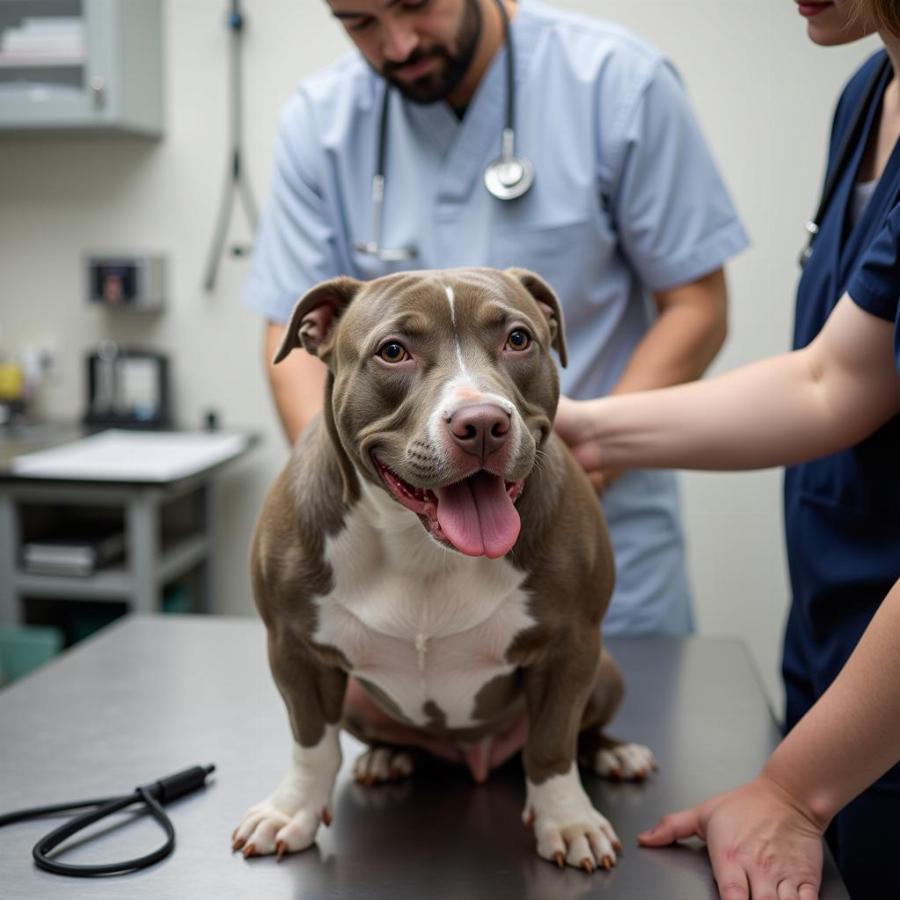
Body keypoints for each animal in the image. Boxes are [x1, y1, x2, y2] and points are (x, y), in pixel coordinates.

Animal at [232, 268, 652, 872]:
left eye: (518, 339)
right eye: (392, 351)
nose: (482, 422)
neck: (421, 544)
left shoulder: (572, 645)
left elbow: (552, 743)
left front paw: (568, 822)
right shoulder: (293, 648)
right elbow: (311, 743)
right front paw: (291, 812)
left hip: (606, 669)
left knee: (578, 731)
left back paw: (614, 754)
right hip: (356, 698)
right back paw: (387, 756)